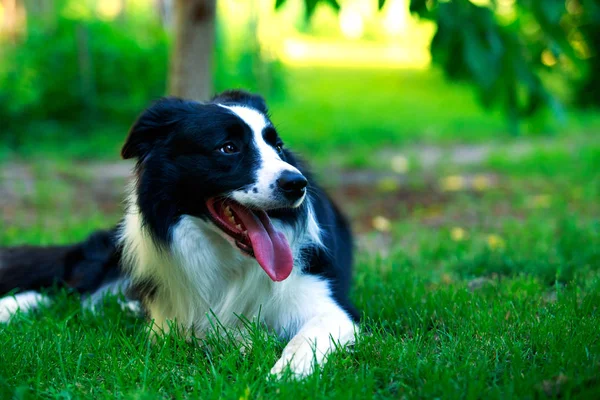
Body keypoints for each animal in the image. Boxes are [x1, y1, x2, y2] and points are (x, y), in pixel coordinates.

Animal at [0, 90, 358, 378]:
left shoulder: (334, 310)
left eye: (278, 147)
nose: (297, 184)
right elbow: (194, 331)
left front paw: (285, 374)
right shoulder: (173, 319)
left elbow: (306, 338)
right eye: (228, 147)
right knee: (68, 289)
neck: (226, 257)